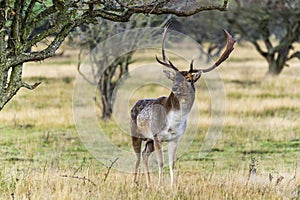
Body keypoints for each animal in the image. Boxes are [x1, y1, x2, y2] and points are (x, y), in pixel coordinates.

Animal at [130, 23, 236, 188]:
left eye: (189, 79)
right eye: (175, 78)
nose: (175, 88)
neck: (172, 123)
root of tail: (135, 103)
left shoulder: (175, 138)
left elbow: (172, 163)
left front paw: (172, 186)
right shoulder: (157, 136)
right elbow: (161, 162)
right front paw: (160, 185)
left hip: (149, 140)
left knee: (145, 154)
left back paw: (148, 183)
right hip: (136, 133)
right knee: (137, 157)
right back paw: (134, 183)